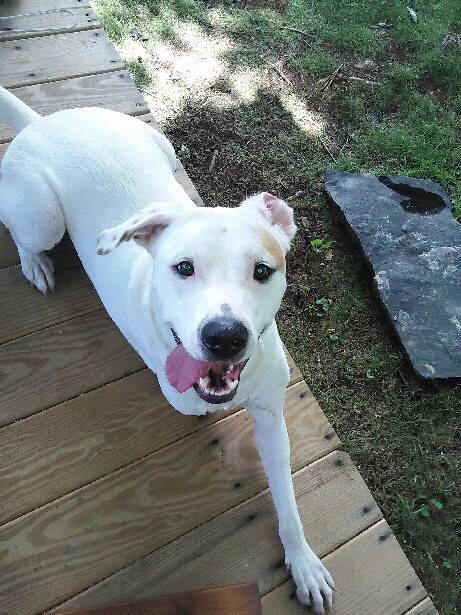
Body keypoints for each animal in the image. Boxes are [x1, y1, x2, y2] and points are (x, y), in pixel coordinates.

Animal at [0, 85, 332, 612]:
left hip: (163, 146)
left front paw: (302, 562)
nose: (225, 336)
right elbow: (193, 407)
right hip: (41, 216)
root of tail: (42, 122)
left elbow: (288, 498)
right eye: (183, 268)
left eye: (263, 270)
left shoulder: (271, 414)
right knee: (26, 234)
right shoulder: (185, 397)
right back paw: (35, 263)